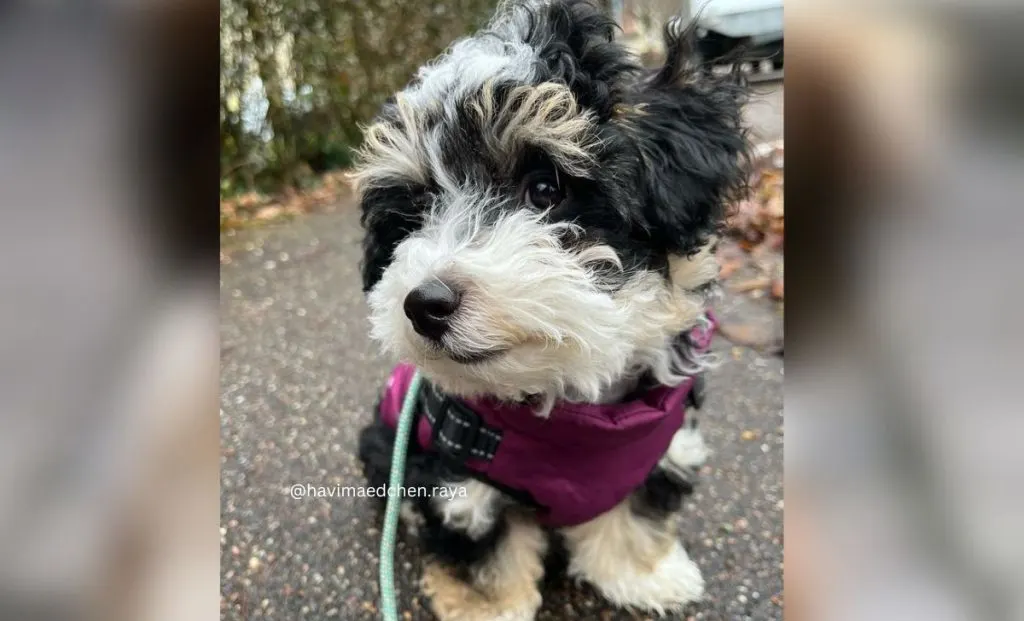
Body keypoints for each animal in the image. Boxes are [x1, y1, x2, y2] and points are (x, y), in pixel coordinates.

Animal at [356, 2, 749, 618]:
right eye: (414, 217)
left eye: (545, 190)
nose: (424, 304)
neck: (568, 413)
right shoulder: (458, 474)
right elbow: (481, 543)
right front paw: (488, 606)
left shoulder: (656, 450)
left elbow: (635, 512)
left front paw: (643, 573)